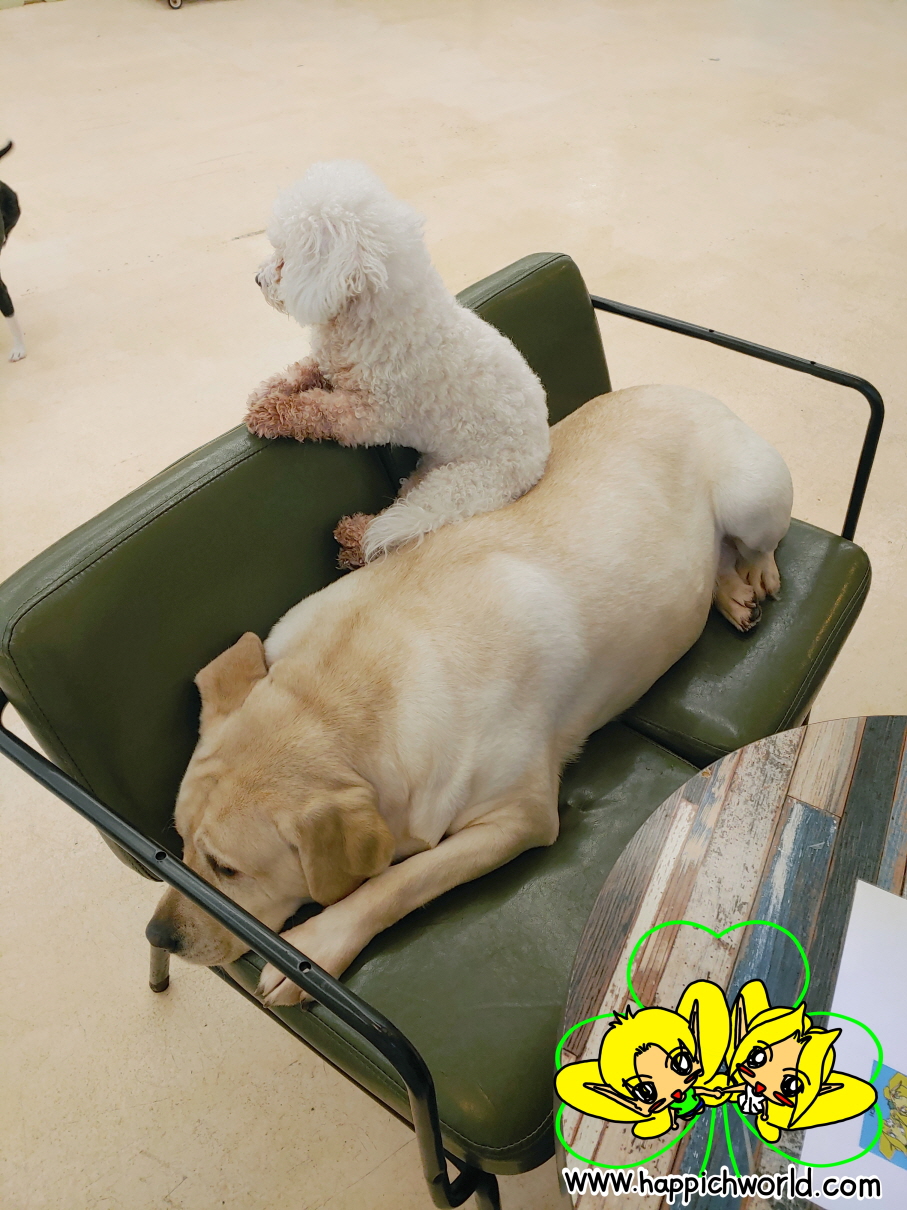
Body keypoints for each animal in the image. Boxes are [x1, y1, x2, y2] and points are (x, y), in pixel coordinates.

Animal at [147, 385, 792, 1006]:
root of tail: (687, 389)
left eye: (227, 868)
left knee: (755, 543)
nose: (157, 935)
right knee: (715, 562)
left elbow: (399, 880)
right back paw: (731, 593)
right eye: (177, 840)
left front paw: (316, 946)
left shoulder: (519, 816)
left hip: (752, 497)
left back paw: (757, 576)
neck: (336, 698)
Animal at [244, 161, 549, 569]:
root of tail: (542, 456)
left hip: (461, 486)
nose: (257, 279)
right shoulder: (329, 363)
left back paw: (356, 536)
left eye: (284, 257)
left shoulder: (370, 416)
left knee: (402, 522)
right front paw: (269, 389)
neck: (369, 318)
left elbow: (318, 410)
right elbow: (305, 369)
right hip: (428, 470)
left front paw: (270, 413)